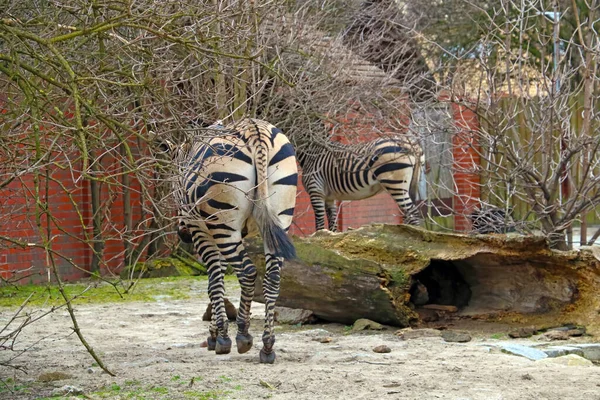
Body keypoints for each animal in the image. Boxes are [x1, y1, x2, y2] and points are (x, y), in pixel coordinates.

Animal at [161, 117, 298, 364]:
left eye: (174, 188)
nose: (181, 233)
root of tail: (255, 129)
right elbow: (219, 282)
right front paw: (215, 333)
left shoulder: (202, 230)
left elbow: (214, 282)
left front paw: (220, 338)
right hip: (280, 211)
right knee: (272, 277)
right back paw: (267, 346)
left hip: (223, 220)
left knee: (248, 272)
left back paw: (243, 335)